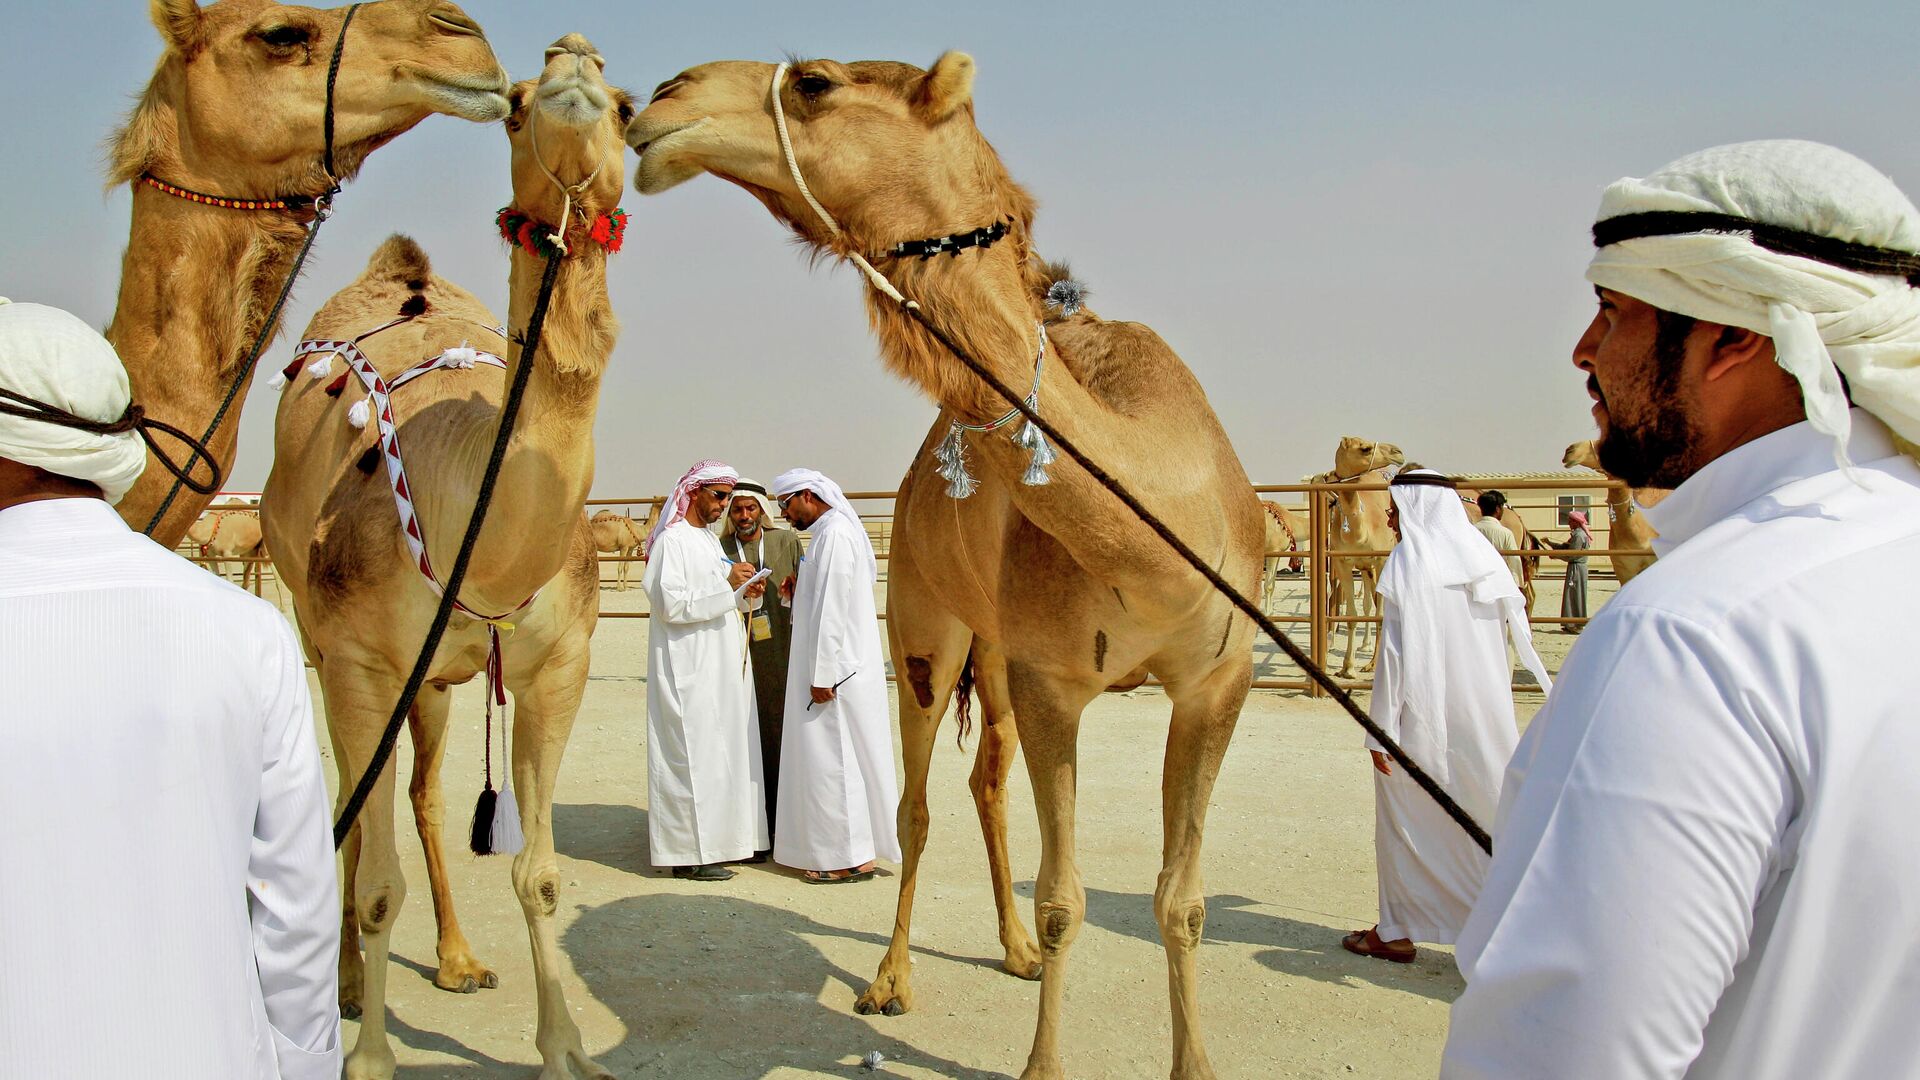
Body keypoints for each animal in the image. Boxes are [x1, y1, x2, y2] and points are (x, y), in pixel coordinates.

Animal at [255, 35, 625, 1076]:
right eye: (516, 102)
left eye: (626, 104)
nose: (573, 54)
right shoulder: (358, 660)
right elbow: (377, 876)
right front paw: (371, 1057)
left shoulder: (559, 665)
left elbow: (540, 876)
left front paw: (563, 1045)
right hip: (329, 642)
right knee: (355, 794)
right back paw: (346, 983)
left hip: (440, 680)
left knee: (422, 792)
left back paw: (458, 959)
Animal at [622, 52, 1267, 1076]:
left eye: (813, 82)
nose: (662, 101)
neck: (1163, 516)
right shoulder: (1053, 681)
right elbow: (1065, 899)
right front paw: (1042, 1062)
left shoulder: (1219, 676)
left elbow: (1183, 899)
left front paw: (1192, 1064)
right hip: (928, 628)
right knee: (917, 805)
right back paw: (890, 978)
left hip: (992, 653)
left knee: (983, 782)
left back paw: (1005, 948)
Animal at [1313, 430, 1405, 668]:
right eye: (1365, 448)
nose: (1398, 452)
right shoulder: (1342, 563)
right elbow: (1353, 615)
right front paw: (1348, 667)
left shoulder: (1380, 561)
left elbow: (1380, 612)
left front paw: (1373, 665)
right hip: (1364, 568)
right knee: (1367, 602)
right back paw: (1365, 646)